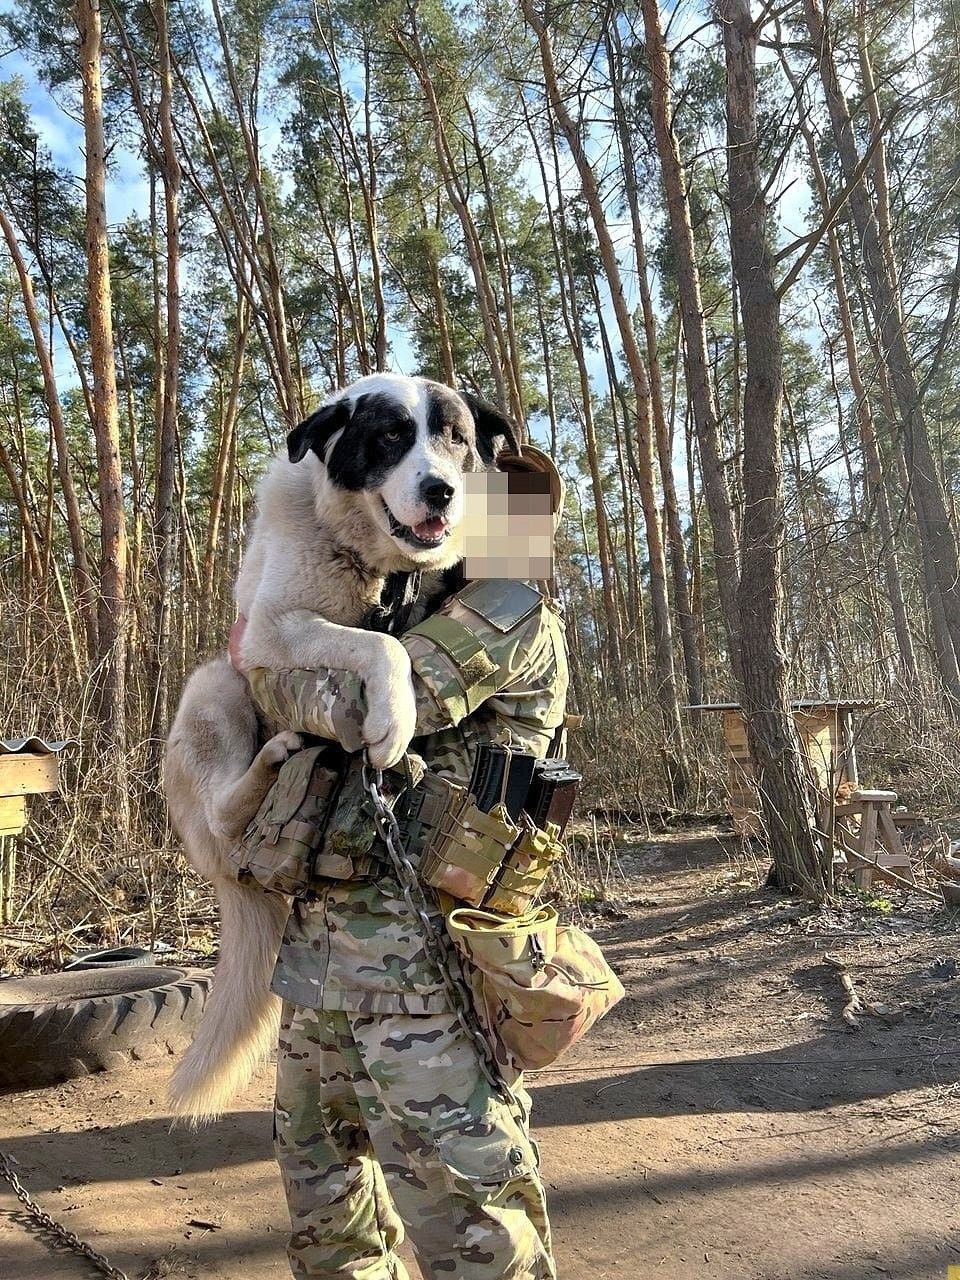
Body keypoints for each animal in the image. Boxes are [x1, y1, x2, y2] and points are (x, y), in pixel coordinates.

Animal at [164, 374, 516, 1121]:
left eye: (456, 437)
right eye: (388, 437)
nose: (441, 489)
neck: (371, 560)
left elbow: (394, 633)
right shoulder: (271, 630)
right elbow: (379, 644)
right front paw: (392, 719)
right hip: (214, 685)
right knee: (222, 810)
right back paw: (270, 764)